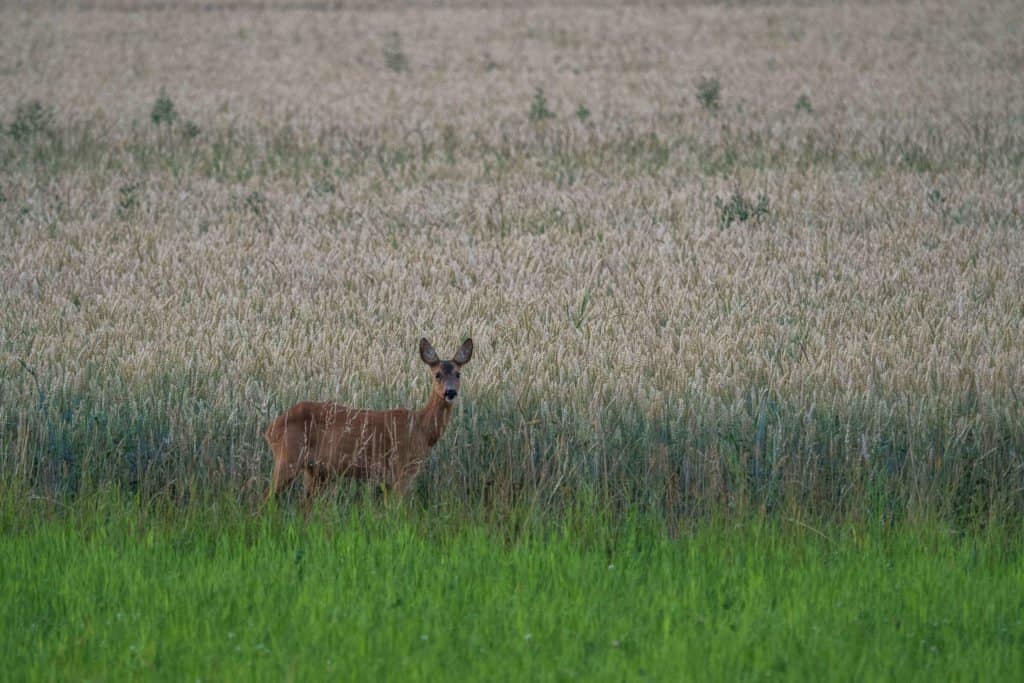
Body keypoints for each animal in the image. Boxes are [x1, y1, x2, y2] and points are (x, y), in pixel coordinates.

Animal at [264, 337, 471, 507]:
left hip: (315, 471)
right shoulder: (401, 469)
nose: (450, 392)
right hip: (288, 456)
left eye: (458, 374)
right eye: (437, 374)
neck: (421, 430)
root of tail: (270, 428)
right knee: (266, 499)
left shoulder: (389, 480)